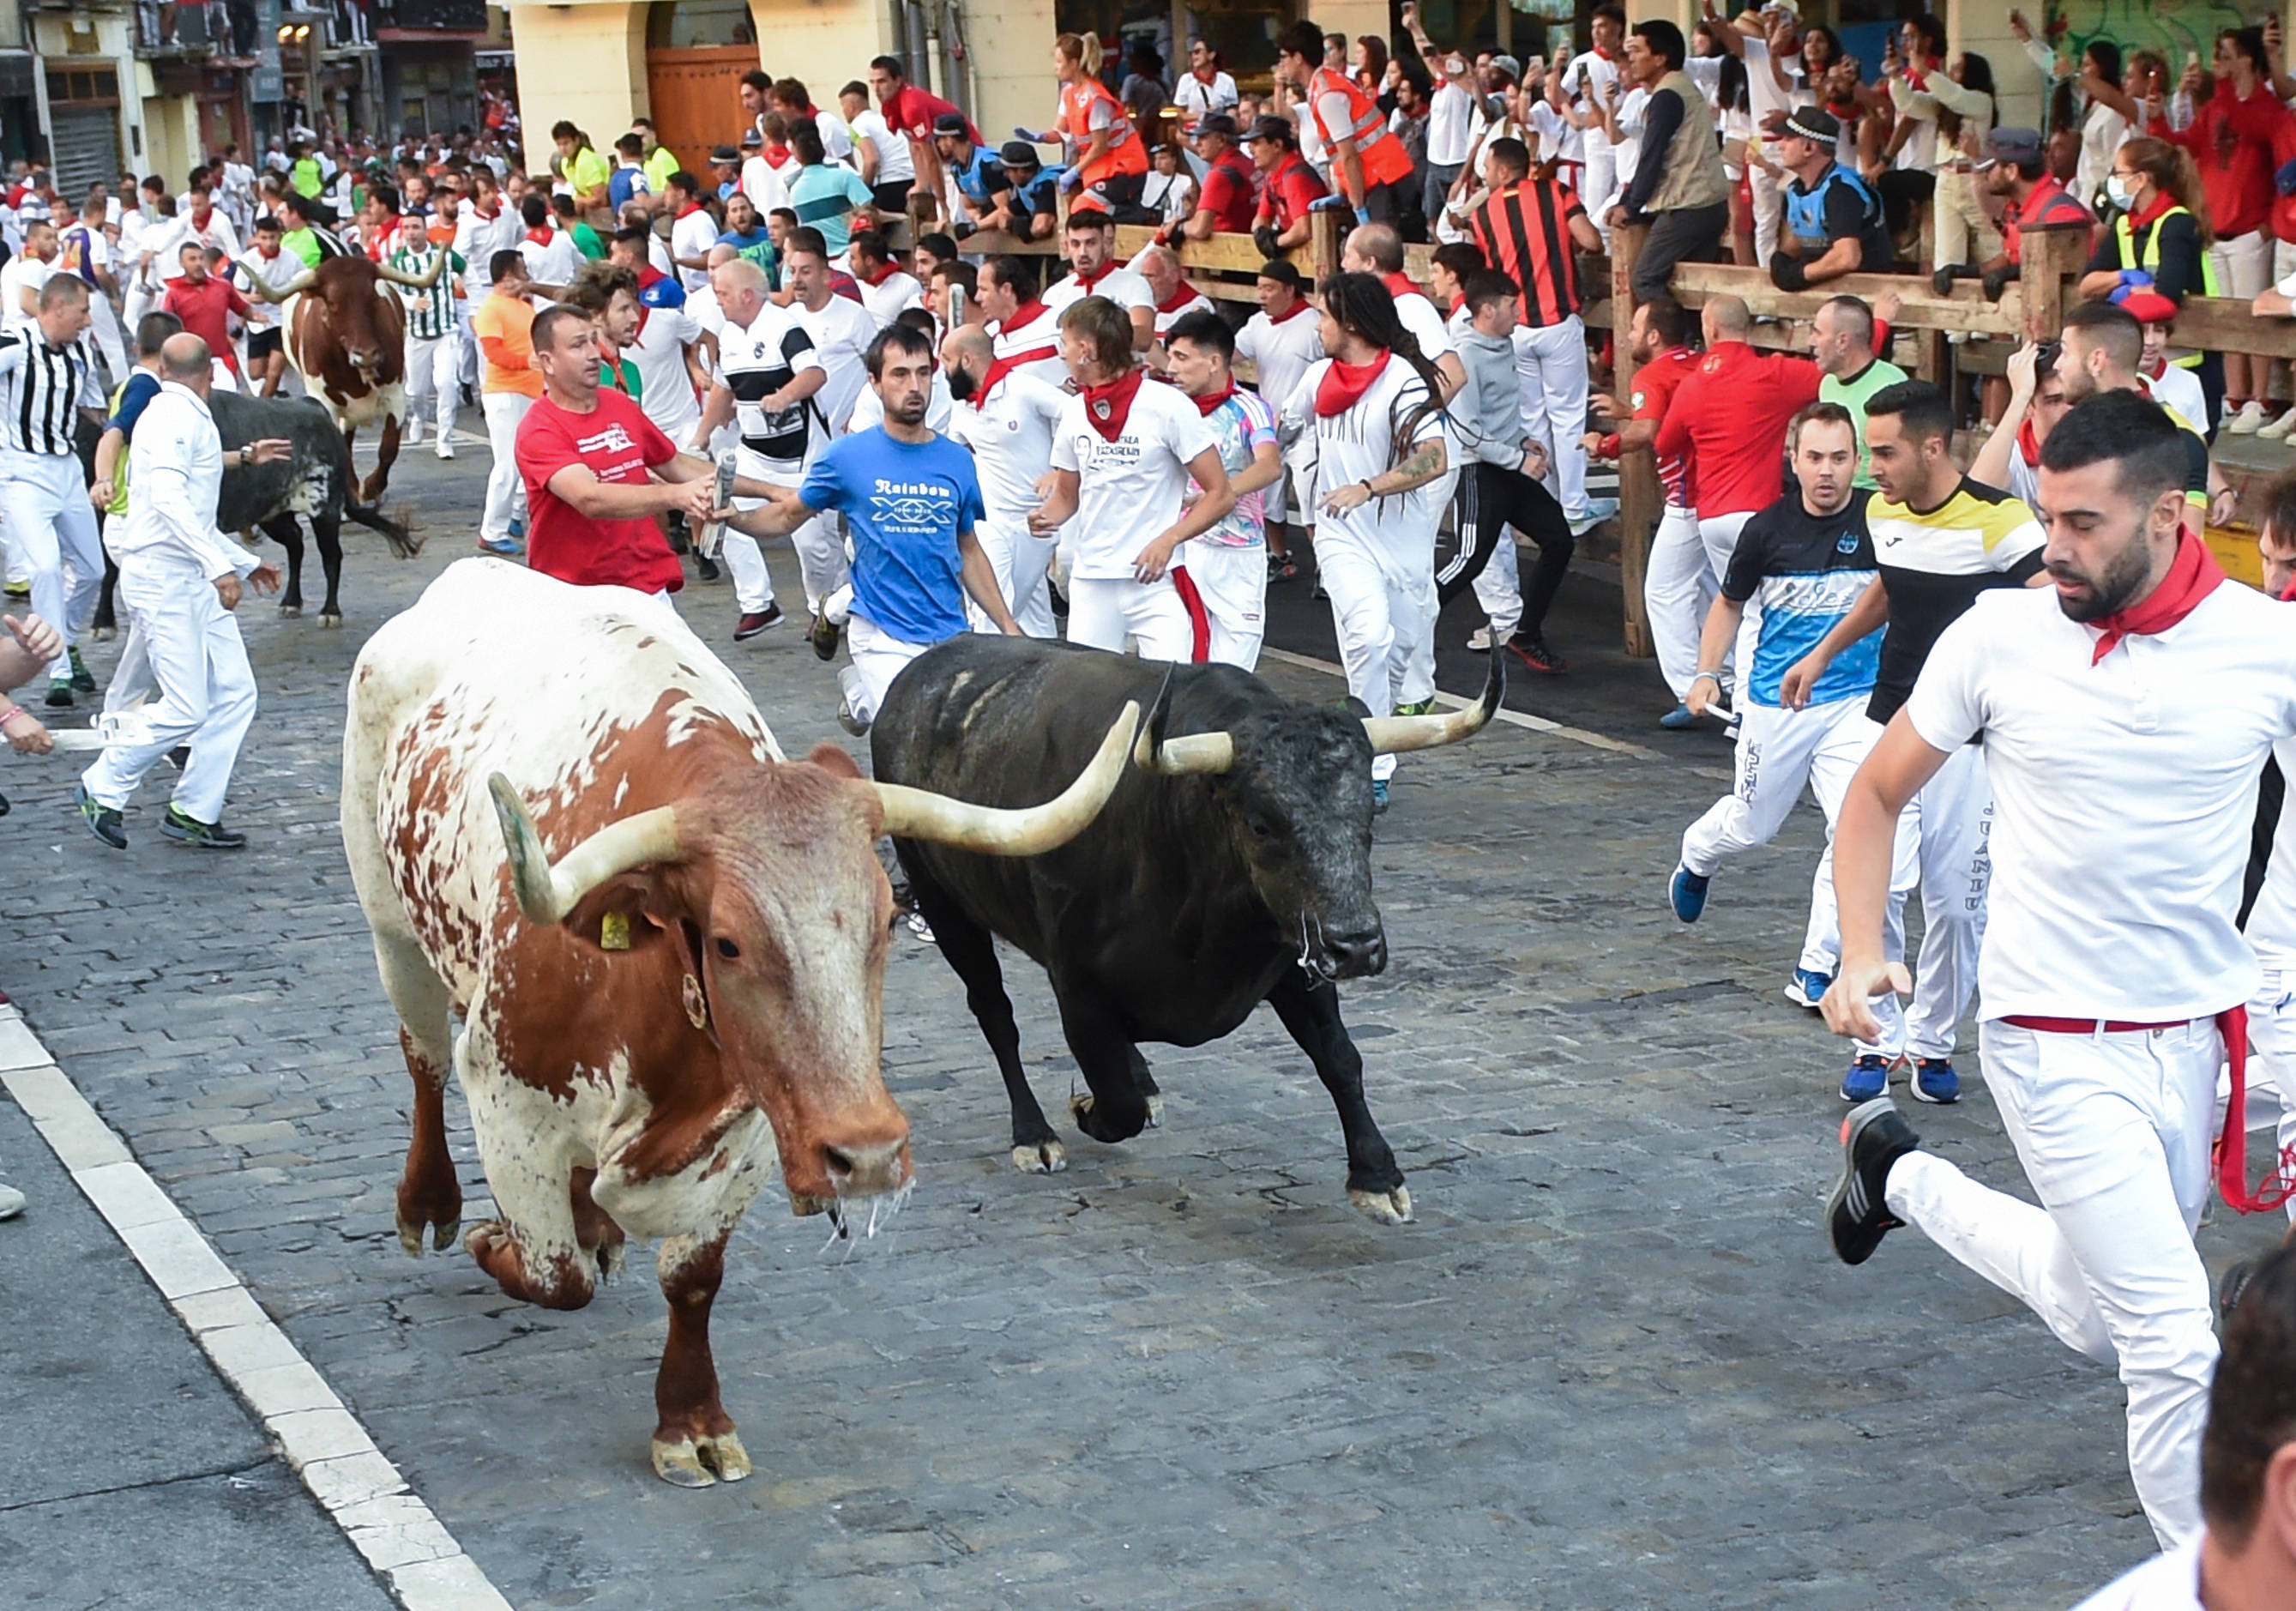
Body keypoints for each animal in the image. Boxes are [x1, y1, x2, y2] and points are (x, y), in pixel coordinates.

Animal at [92, 392, 419, 637]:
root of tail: (316, 409)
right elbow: (109, 569)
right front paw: (103, 622)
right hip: (272, 514)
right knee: (296, 542)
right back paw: (291, 602)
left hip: (324, 507)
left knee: (330, 556)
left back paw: (329, 612)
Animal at [872, 637, 1506, 1229]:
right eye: (1261, 823)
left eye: (1366, 817)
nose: (1357, 947)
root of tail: (917, 677)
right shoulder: (1076, 988)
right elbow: (1114, 1100)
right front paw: (1082, 1110)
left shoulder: (1294, 958)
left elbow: (1339, 1058)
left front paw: (1377, 1177)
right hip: (943, 901)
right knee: (994, 1012)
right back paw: (1032, 1134)